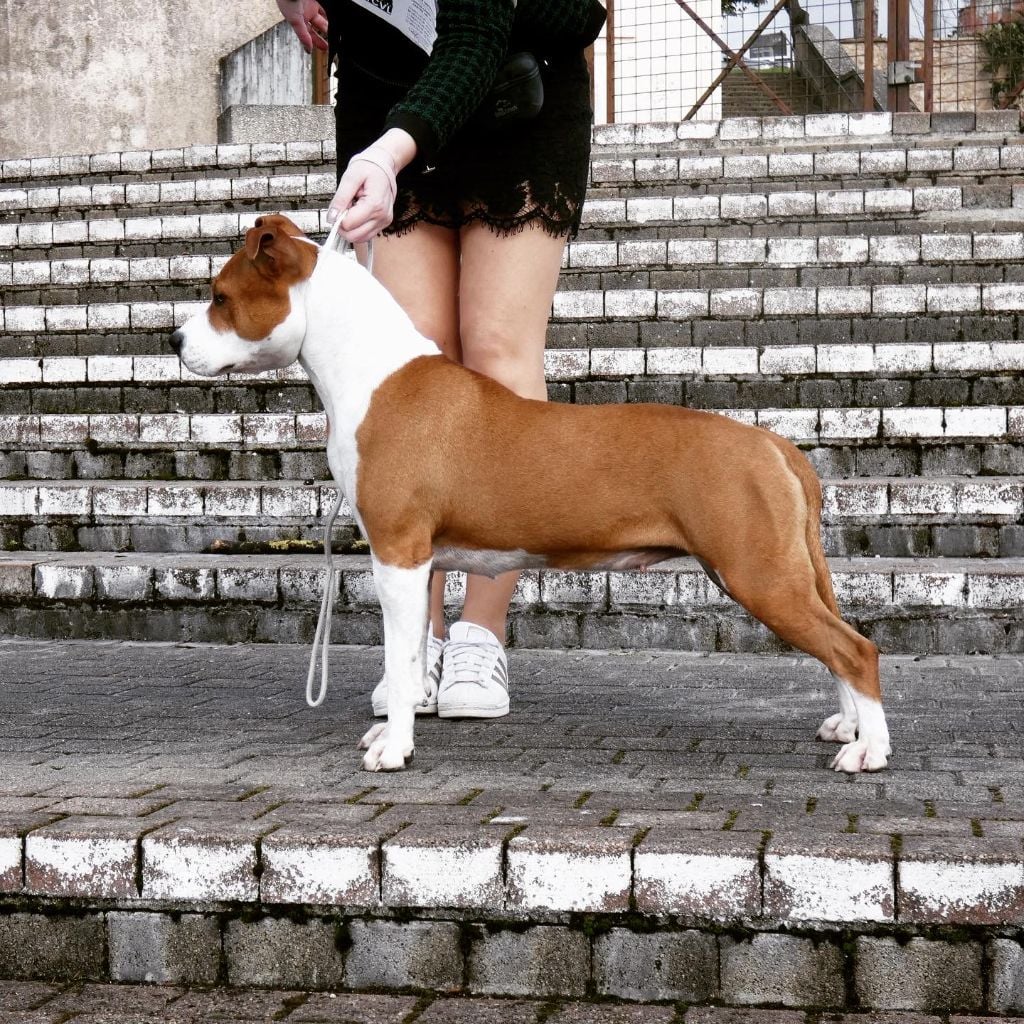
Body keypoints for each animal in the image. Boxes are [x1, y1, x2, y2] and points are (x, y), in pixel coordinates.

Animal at [170, 214, 891, 775]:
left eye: (220, 297)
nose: (173, 340)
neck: (371, 372)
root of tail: (774, 446)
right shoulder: (414, 561)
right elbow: (408, 656)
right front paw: (396, 728)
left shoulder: (398, 554)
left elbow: (400, 661)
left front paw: (394, 748)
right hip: (783, 572)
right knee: (836, 644)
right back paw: (848, 726)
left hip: (758, 572)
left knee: (855, 649)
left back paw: (869, 751)